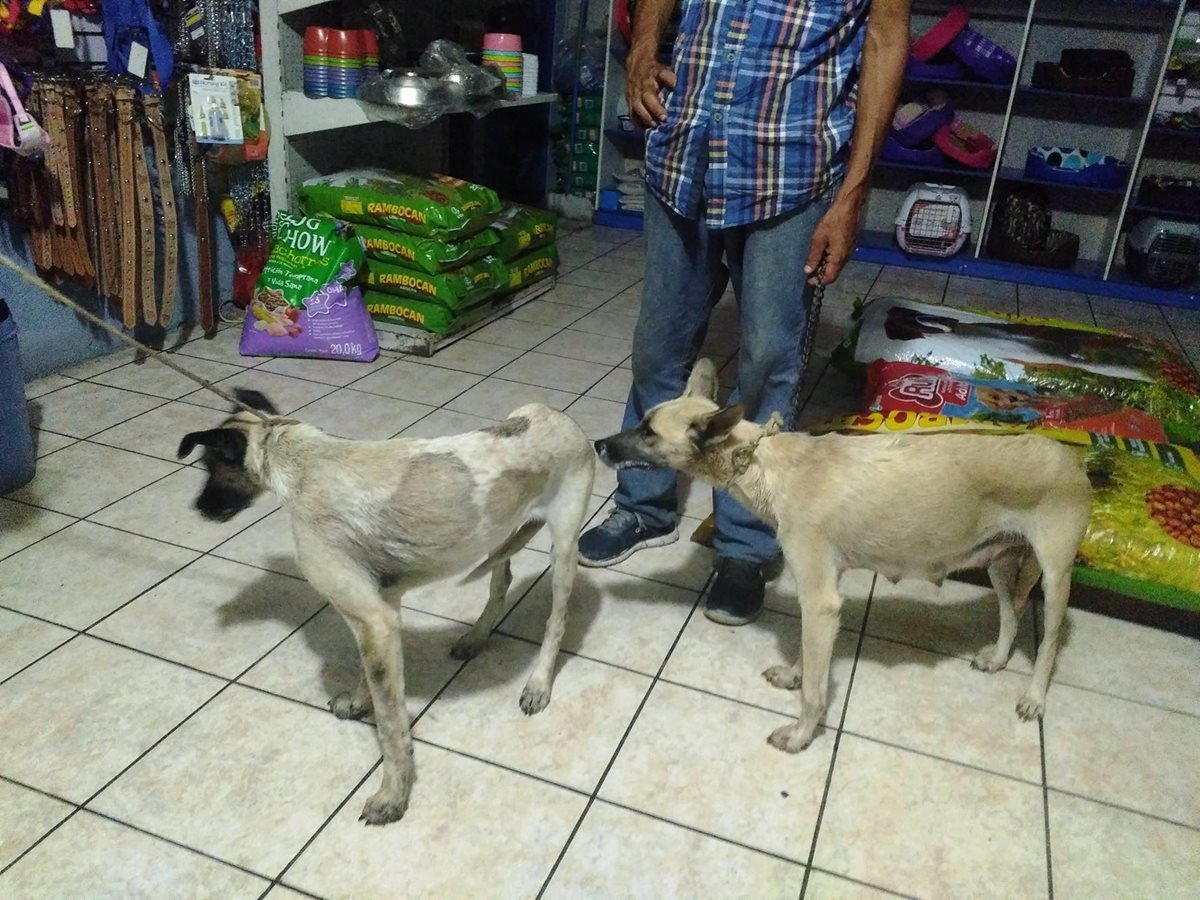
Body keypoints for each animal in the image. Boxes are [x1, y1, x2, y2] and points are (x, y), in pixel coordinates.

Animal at [178, 391, 595, 830]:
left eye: (209, 465)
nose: (199, 509)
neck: (300, 461)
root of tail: (559, 417)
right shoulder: (381, 610)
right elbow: (372, 683)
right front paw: (358, 703)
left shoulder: (374, 621)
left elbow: (391, 726)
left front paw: (393, 795)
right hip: (500, 534)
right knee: (501, 582)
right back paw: (477, 636)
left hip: (563, 547)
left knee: (557, 620)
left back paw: (538, 684)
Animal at [595, 360, 1094, 753]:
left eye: (647, 432)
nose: (598, 445)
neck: (762, 464)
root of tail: (1073, 459)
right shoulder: (821, 604)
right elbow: (809, 662)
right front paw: (795, 676)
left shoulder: (820, 602)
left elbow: (815, 692)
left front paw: (801, 736)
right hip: (998, 561)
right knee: (1011, 612)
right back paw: (999, 658)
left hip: (1055, 576)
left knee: (1048, 643)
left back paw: (1035, 697)